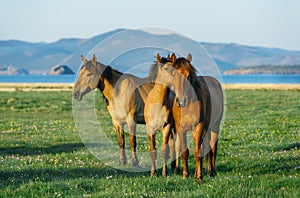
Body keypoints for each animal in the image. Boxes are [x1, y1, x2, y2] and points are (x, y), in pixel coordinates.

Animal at [170, 53, 224, 183]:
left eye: (189, 75)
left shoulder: (198, 127)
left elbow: (197, 152)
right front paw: (186, 175)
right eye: (173, 74)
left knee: (212, 148)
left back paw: (212, 172)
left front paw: (199, 177)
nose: (180, 101)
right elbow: (185, 152)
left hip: (214, 127)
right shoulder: (180, 129)